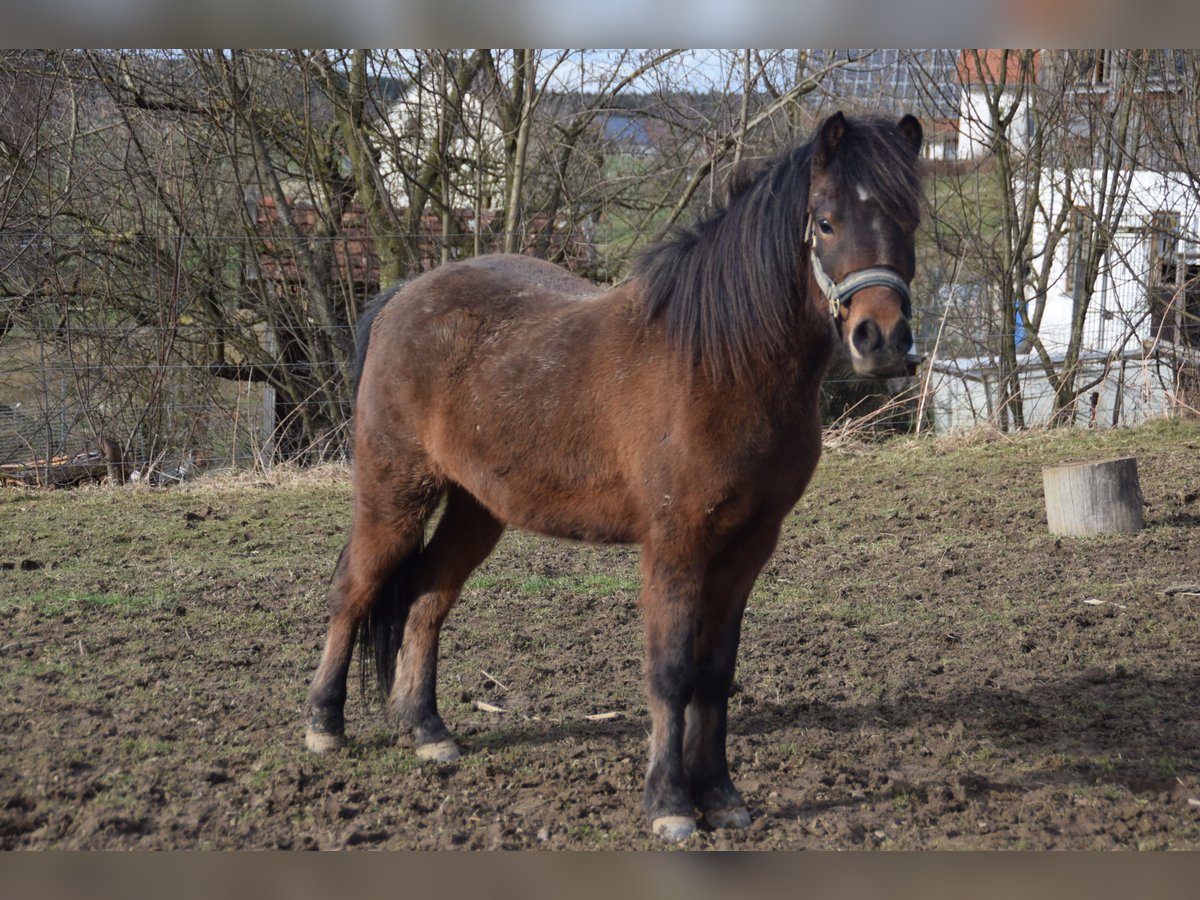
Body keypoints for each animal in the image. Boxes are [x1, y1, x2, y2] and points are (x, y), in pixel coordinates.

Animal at [304, 114, 921, 844]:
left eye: (910, 218)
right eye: (825, 221)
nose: (881, 340)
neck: (721, 363)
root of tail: (404, 296)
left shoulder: (748, 547)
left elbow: (715, 674)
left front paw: (721, 795)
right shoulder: (675, 545)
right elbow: (671, 672)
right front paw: (670, 803)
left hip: (477, 508)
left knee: (428, 597)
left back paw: (427, 730)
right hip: (394, 493)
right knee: (354, 588)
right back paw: (324, 724)